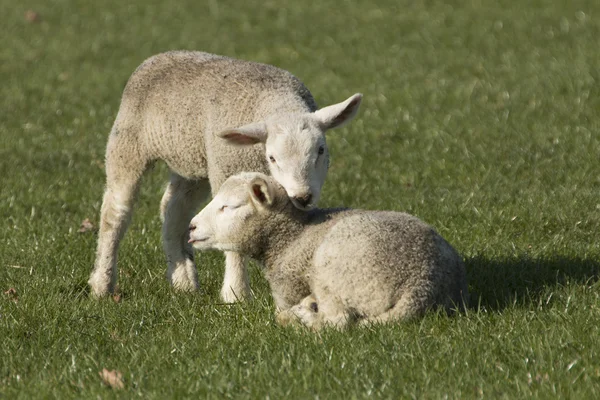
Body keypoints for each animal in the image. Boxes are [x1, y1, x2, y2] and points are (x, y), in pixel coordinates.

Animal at [86, 50, 360, 300]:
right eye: (272, 157)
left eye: (321, 150)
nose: (303, 197)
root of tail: (159, 57)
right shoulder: (229, 174)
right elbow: (233, 232)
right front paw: (236, 295)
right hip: (127, 145)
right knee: (115, 213)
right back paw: (102, 284)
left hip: (192, 162)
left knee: (174, 211)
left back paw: (183, 281)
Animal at [190, 173, 472, 330]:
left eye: (229, 206)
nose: (191, 226)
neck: (291, 236)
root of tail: (420, 284)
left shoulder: (288, 288)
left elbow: (283, 311)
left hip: (335, 272)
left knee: (339, 323)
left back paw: (303, 319)